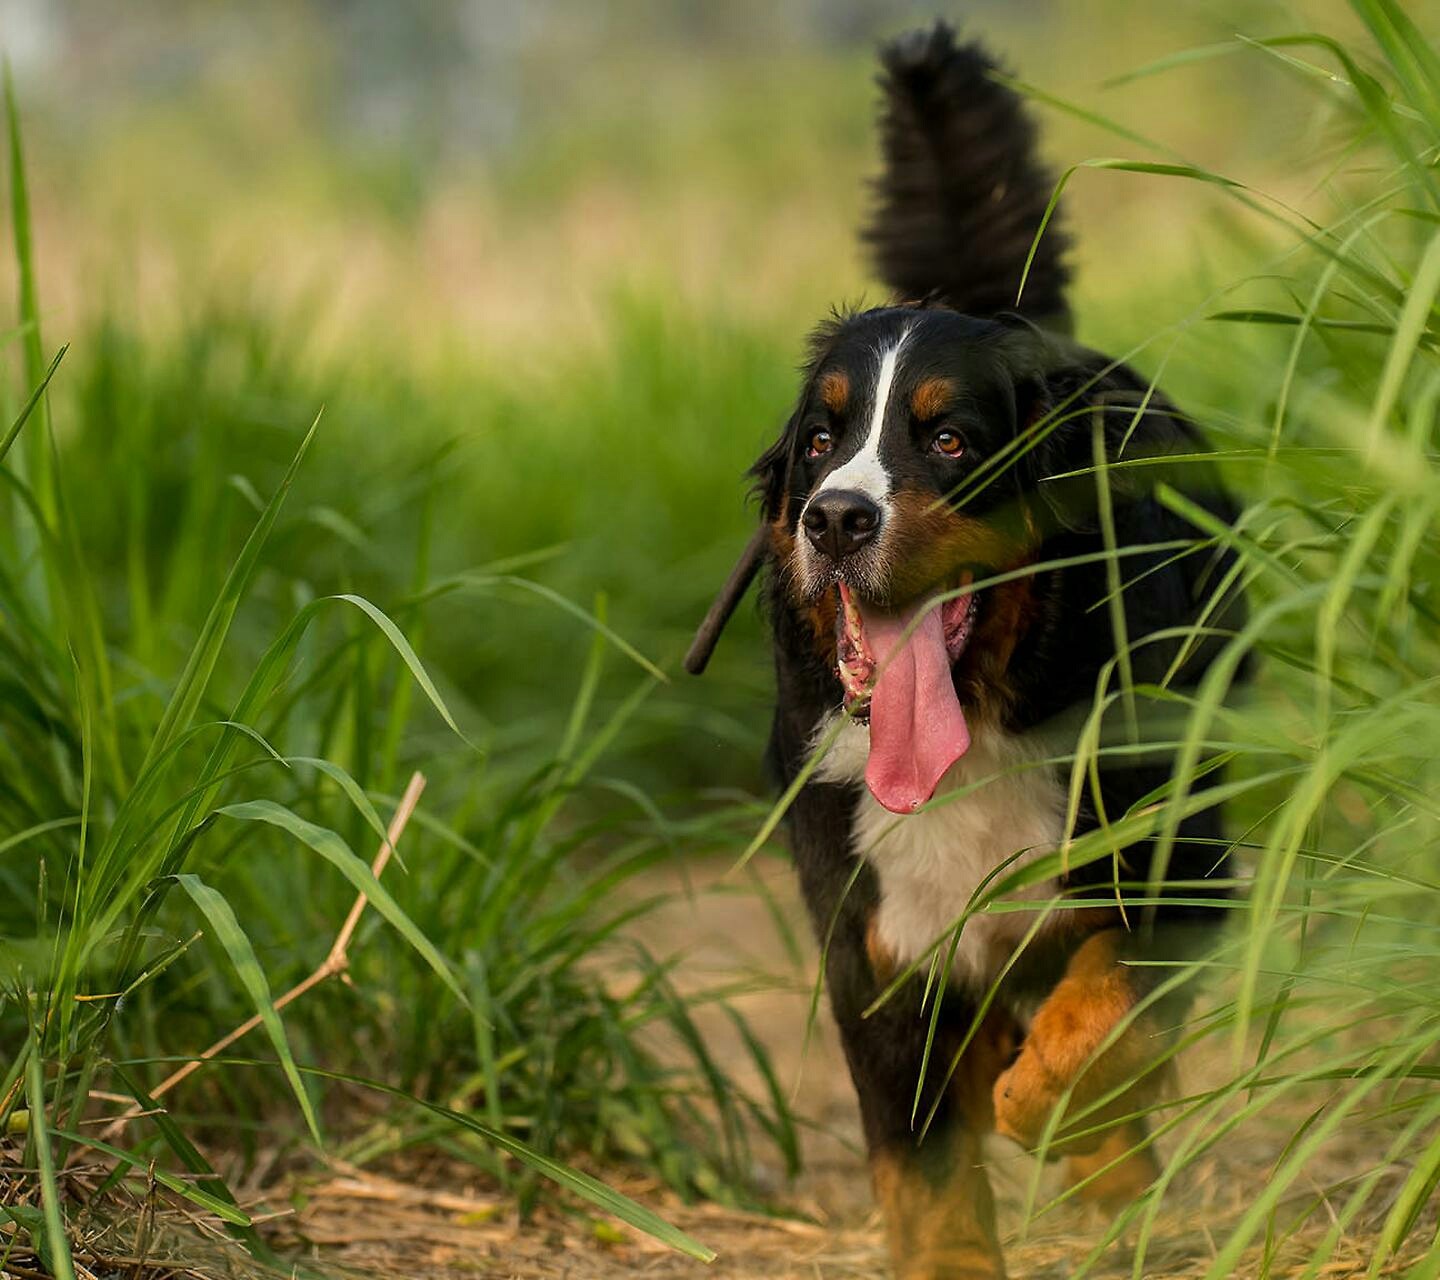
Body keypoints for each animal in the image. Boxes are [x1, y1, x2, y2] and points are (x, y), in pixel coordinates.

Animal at [688, 22, 1249, 1278]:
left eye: (949, 439)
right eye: (821, 439)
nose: (837, 519)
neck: (980, 729)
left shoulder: (1177, 865)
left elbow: (1100, 1017)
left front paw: (1063, 1115)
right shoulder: (877, 947)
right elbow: (927, 1170)